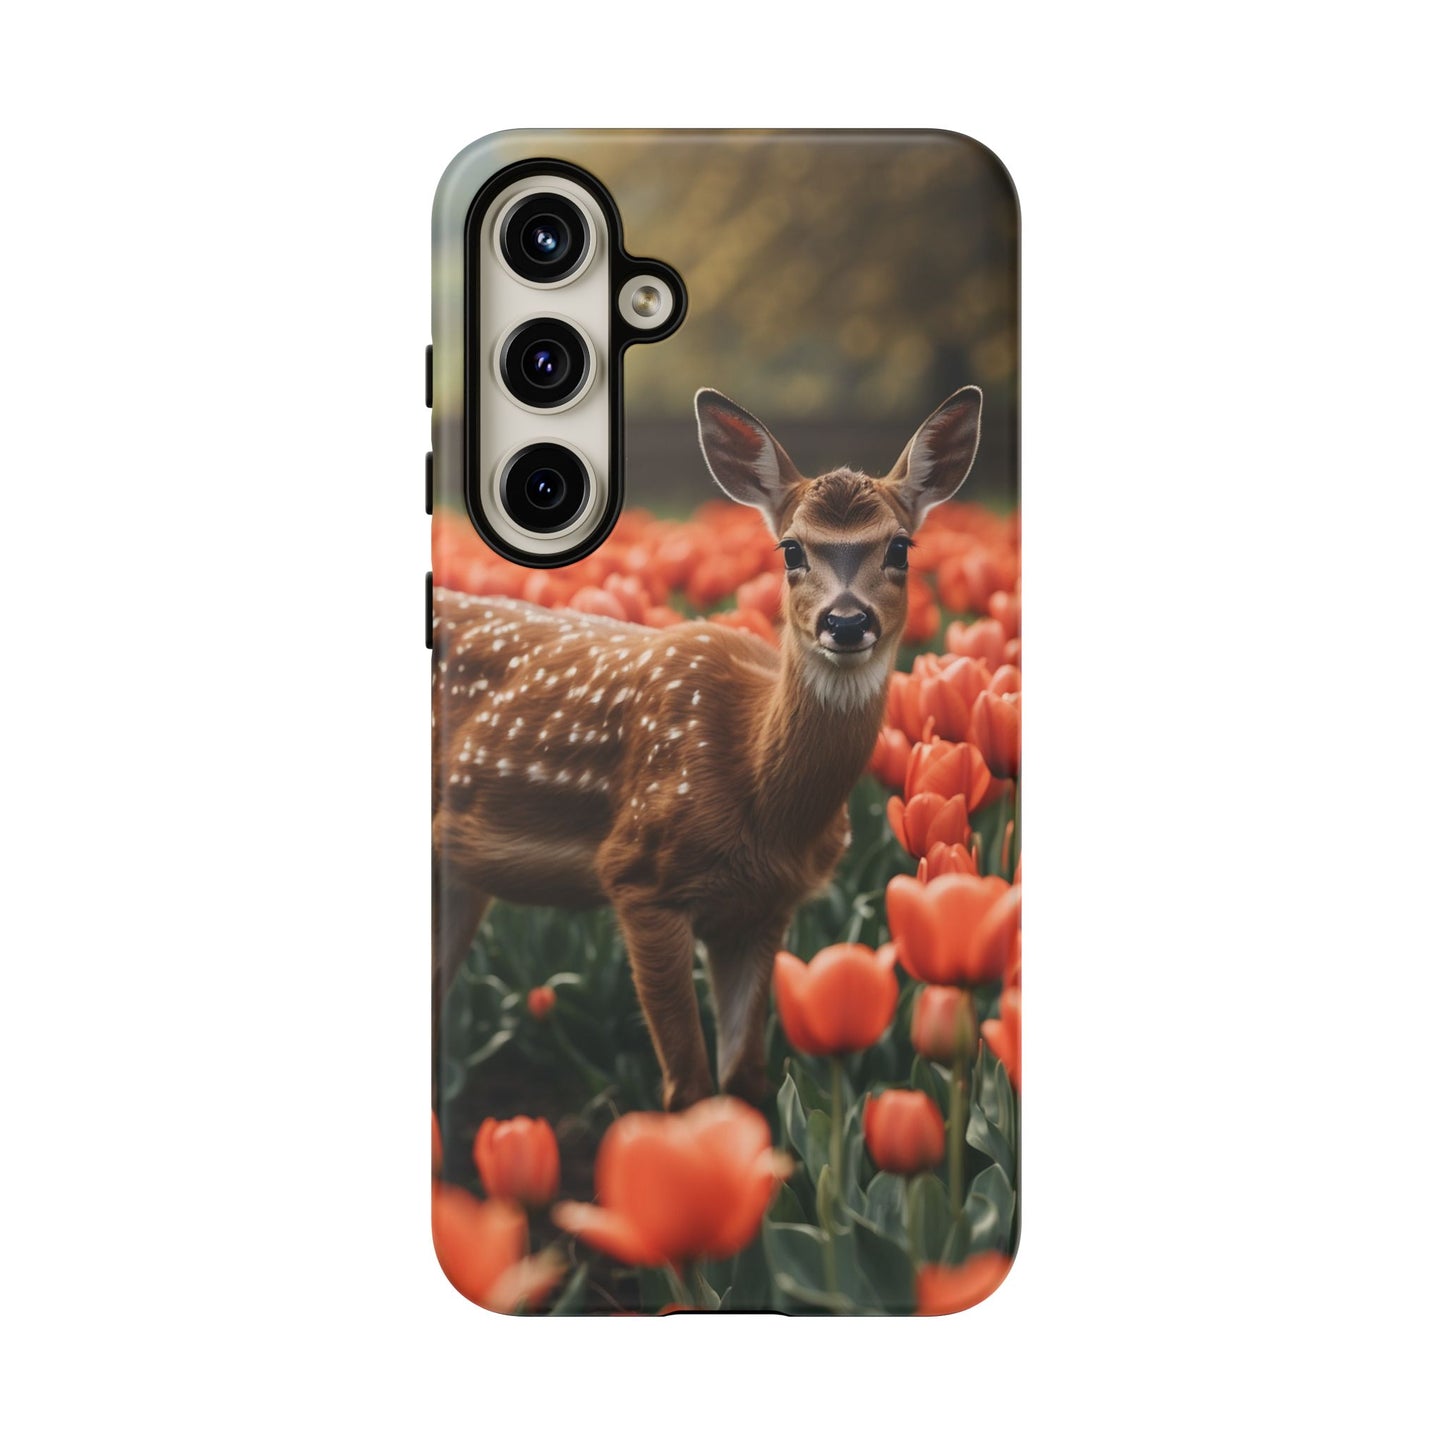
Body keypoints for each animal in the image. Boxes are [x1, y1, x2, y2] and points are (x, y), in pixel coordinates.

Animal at [432, 385, 983, 1110]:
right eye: (790, 550)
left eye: (900, 547)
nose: (845, 621)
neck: (757, 791)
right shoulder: (639, 875)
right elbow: (689, 1088)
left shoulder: (764, 907)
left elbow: (744, 1078)